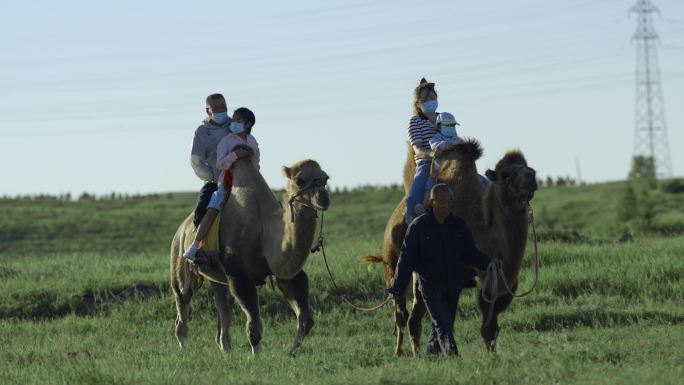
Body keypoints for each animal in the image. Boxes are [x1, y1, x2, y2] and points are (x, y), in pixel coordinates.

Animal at [171, 158, 332, 356]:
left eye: (326, 177)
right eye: (300, 180)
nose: (323, 197)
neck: (264, 231)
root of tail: (181, 229)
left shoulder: (284, 272)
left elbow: (306, 319)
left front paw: (291, 352)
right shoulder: (238, 274)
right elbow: (253, 326)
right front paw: (258, 358)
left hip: (218, 277)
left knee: (223, 306)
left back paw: (226, 353)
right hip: (180, 261)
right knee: (182, 303)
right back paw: (184, 350)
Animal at [366, 138, 536, 354]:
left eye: (528, 167)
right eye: (505, 174)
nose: (531, 175)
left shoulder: (495, 276)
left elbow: (490, 324)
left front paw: (492, 353)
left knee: (412, 316)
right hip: (393, 264)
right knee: (401, 313)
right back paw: (401, 353)